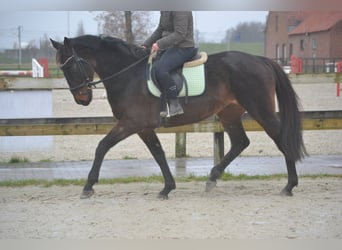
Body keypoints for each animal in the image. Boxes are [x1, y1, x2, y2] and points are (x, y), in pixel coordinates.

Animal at [49, 34, 306, 199]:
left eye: (69, 67)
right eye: (61, 68)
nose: (81, 99)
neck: (128, 74)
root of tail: (260, 60)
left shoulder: (131, 123)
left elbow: (102, 146)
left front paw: (88, 186)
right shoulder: (143, 127)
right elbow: (159, 154)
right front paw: (167, 188)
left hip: (260, 109)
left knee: (280, 138)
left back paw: (290, 186)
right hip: (229, 113)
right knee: (240, 142)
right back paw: (212, 178)